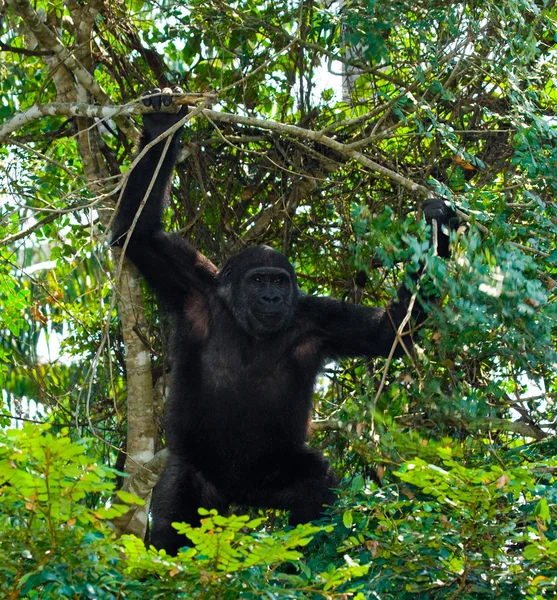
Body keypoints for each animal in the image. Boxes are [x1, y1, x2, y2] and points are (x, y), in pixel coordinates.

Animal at [111, 86, 454, 556]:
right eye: (259, 280)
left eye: (279, 281)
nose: (273, 295)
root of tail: (238, 496)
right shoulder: (191, 287)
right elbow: (137, 234)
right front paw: (162, 124)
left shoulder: (320, 321)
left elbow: (386, 334)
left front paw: (438, 225)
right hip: (197, 480)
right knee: (173, 518)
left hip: (272, 474)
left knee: (314, 485)